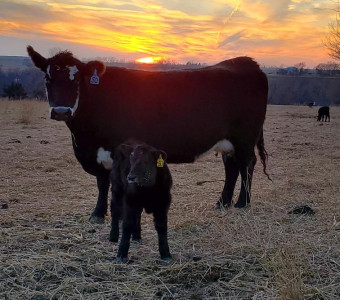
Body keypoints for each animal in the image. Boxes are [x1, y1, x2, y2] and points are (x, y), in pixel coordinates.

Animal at [27, 45, 268, 223]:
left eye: (76, 80)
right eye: (48, 79)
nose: (61, 111)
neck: (85, 138)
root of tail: (246, 62)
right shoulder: (99, 153)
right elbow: (102, 183)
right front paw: (97, 214)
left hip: (245, 138)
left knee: (247, 165)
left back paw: (242, 203)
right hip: (228, 142)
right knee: (232, 168)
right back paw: (222, 203)